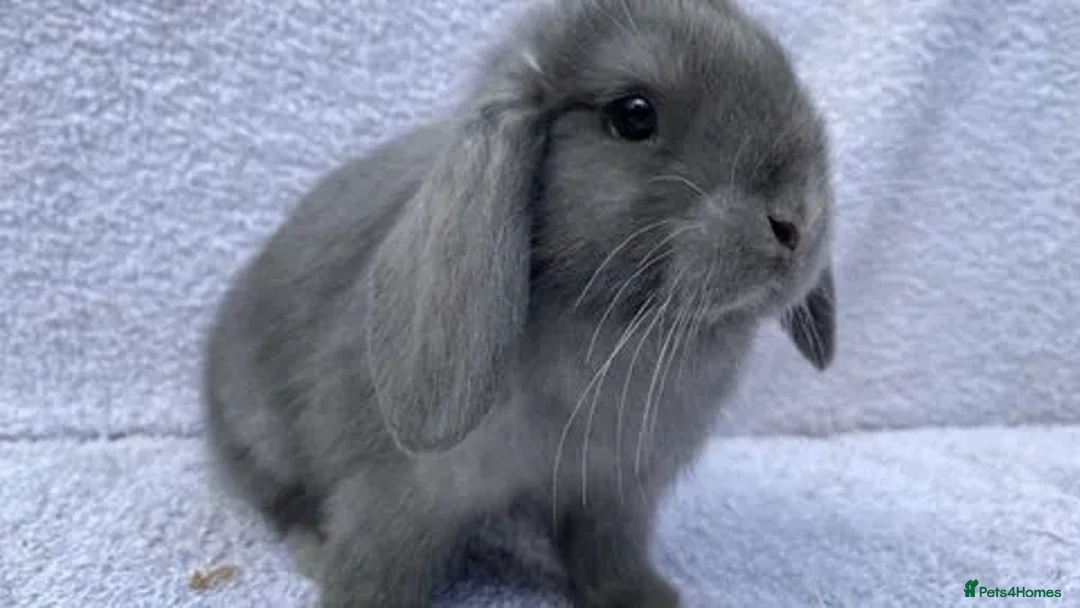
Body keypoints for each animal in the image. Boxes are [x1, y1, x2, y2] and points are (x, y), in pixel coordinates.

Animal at [201, 0, 838, 606]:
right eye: (633, 115)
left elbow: (610, 559)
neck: (609, 324)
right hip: (261, 432)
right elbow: (376, 566)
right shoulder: (392, 496)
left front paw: (648, 599)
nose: (796, 222)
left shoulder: (615, 497)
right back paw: (311, 545)